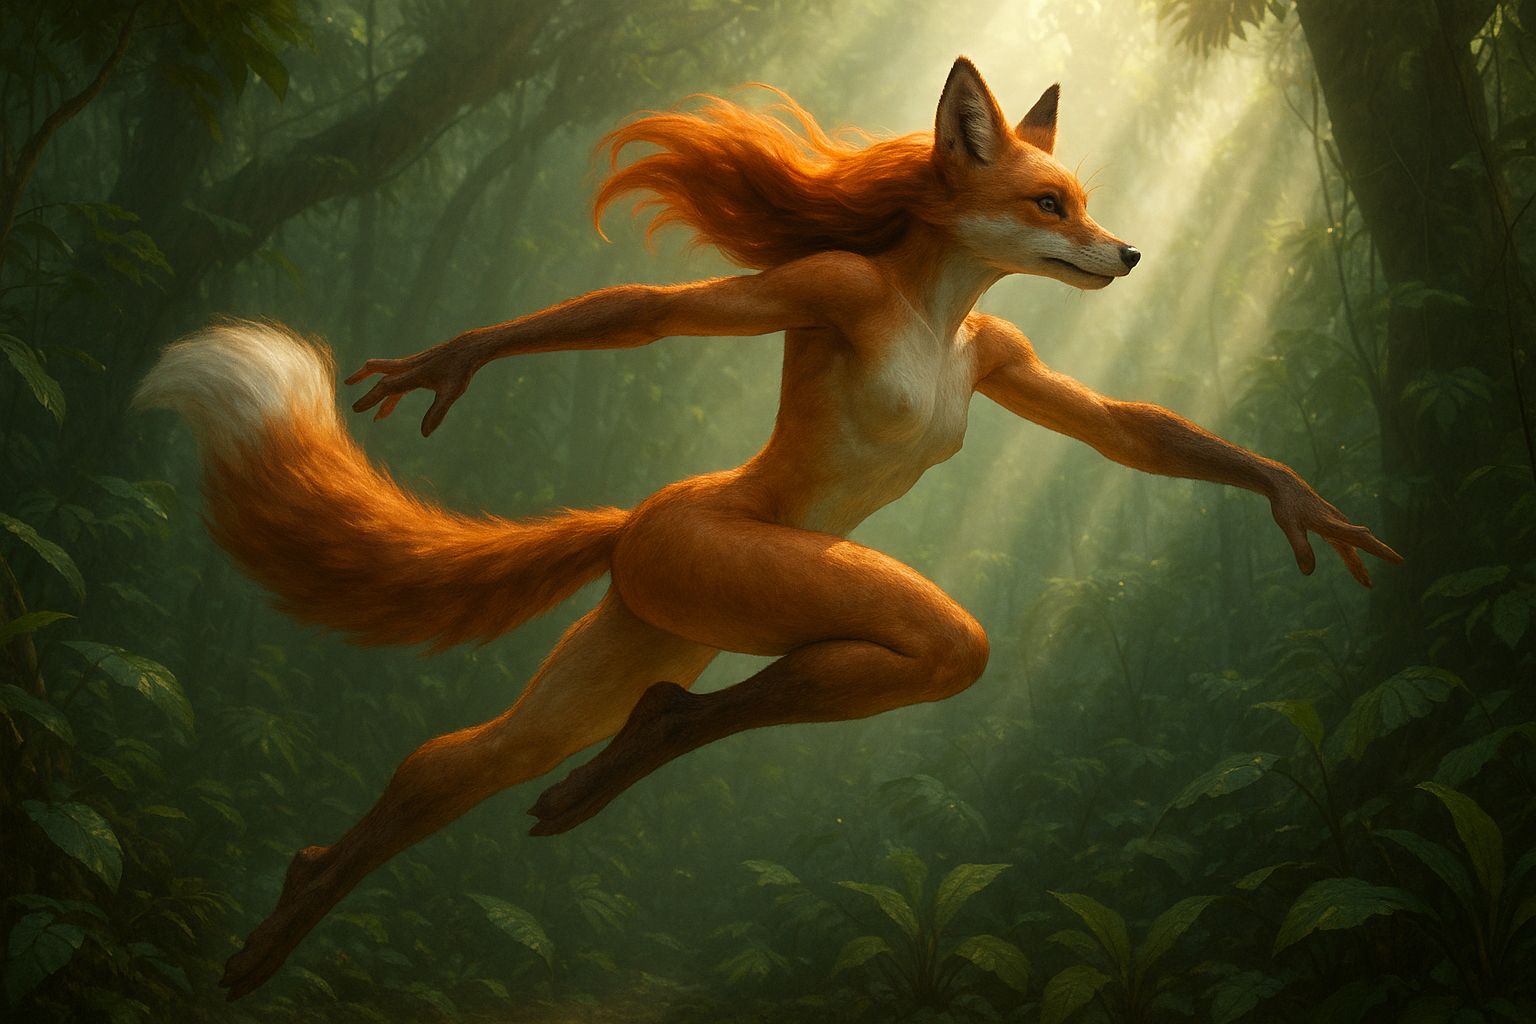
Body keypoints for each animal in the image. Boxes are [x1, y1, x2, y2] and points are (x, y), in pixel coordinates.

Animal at [135, 57, 1401, 998]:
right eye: (1052, 204)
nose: (1129, 254)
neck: (933, 309)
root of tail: (634, 521)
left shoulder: (1011, 360)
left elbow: (1127, 427)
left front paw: (1300, 501)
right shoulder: (826, 284)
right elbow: (647, 314)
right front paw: (454, 360)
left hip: (644, 635)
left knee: (478, 757)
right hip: (716, 570)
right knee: (930, 648)